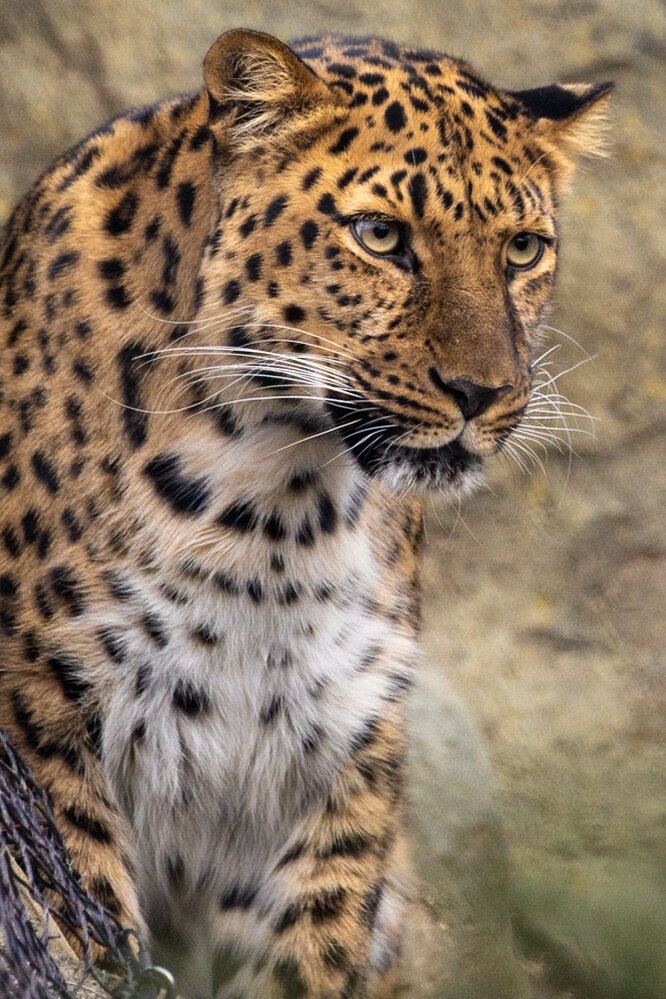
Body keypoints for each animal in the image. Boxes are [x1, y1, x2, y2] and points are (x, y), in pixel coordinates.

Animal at [0, 27, 608, 999]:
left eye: (521, 249)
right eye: (381, 236)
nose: (482, 393)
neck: (275, 509)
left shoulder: (333, 752)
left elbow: (307, 950)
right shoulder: (45, 724)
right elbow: (79, 933)